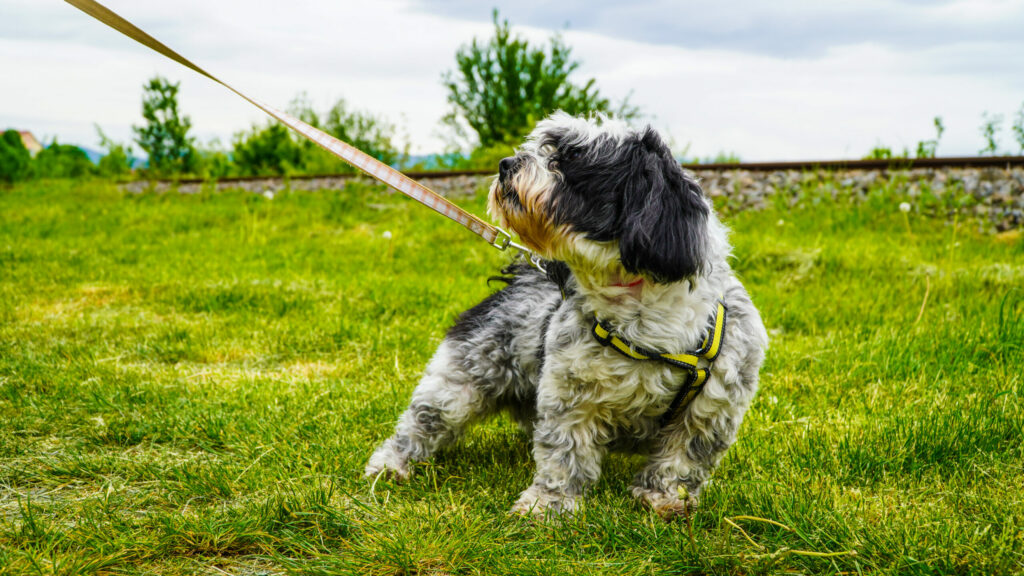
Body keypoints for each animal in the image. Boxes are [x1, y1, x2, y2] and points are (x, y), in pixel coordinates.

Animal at [364, 111, 765, 516]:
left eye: (571, 159)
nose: (506, 164)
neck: (643, 324)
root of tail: (522, 273)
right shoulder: (571, 396)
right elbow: (565, 453)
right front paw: (547, 507)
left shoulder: (711, 409)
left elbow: (683, 459)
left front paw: (664, 499)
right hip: (460, 382)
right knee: (422, 421)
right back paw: (391, 465)